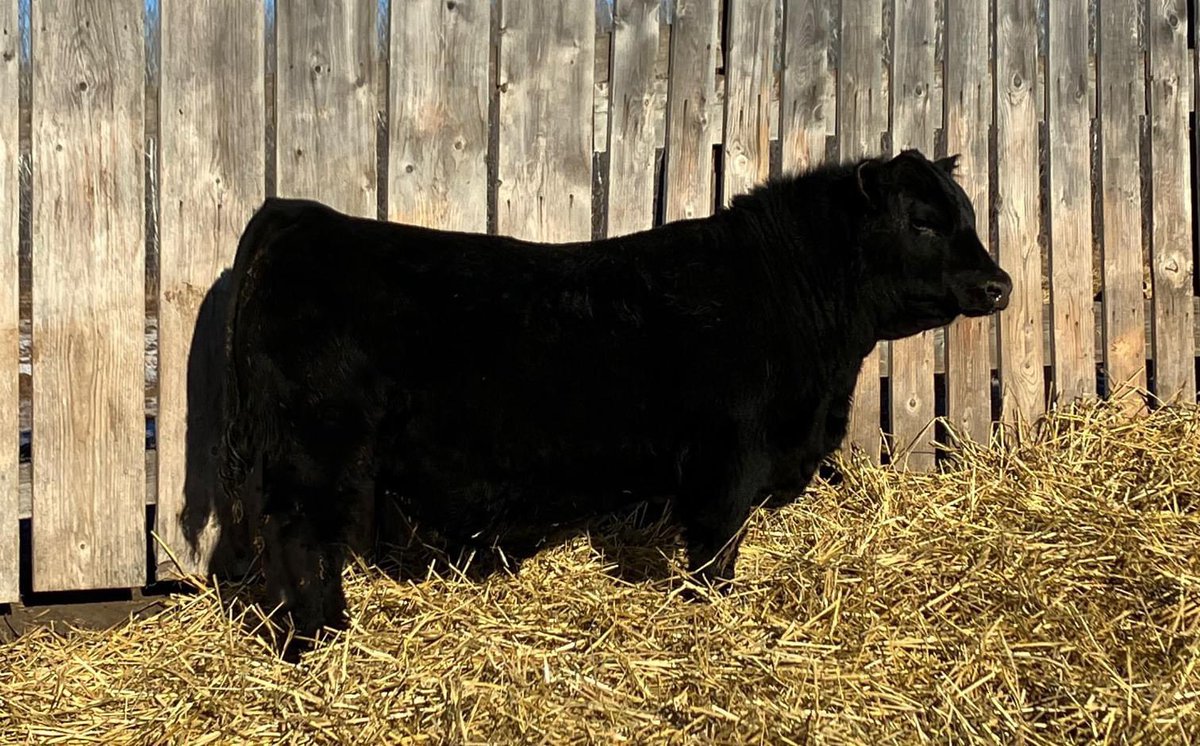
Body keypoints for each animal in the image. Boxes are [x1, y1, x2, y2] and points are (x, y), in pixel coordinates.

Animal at [219, 149, 1011, 643]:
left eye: (967, 214)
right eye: (921, 221)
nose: (998, 285)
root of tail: (303, 216)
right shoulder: (729, 463)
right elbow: (716, 554)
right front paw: (708, 616)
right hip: (314, 451)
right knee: (300, 540)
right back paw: (324, 639)